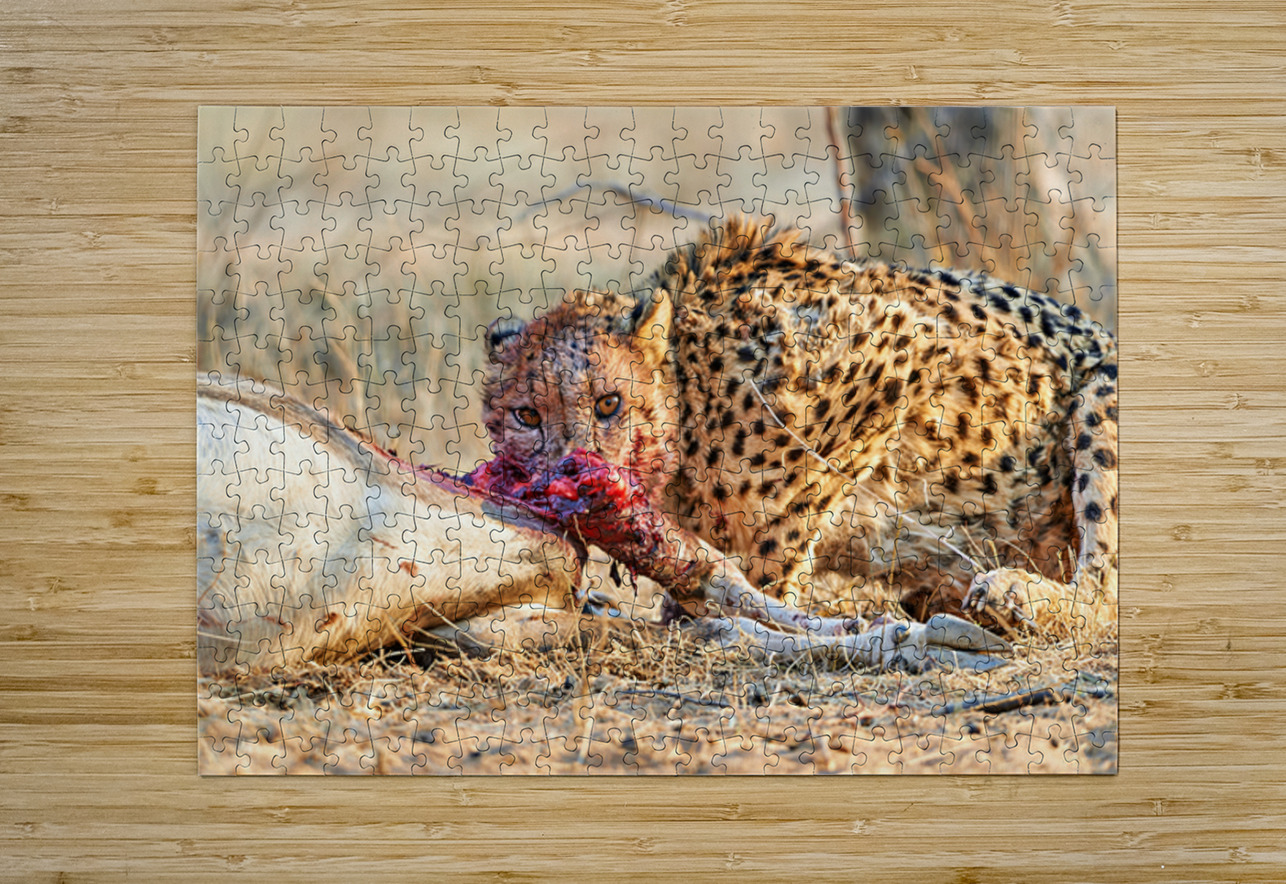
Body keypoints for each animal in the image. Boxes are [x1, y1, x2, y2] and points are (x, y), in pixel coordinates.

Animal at [483, 215, 1118, 642]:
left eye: (609, 403)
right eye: (527, 416)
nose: (573, 470)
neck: (691, 397)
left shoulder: (897, 343)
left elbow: (785, 521)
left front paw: (750, 603)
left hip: (1101, 388)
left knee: (1103, 592)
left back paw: (1016, 595)